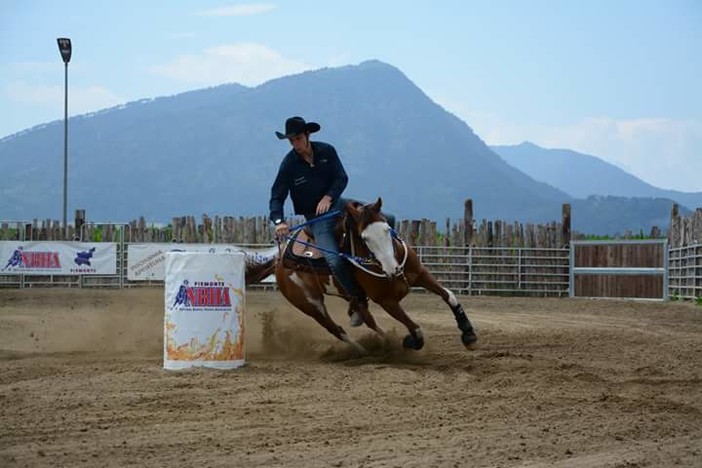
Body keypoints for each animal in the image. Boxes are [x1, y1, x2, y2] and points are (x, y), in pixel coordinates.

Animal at [264, 196, 478, 352]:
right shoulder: (387, 301)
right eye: (364, 238)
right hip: (310, 304)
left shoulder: (421, 275)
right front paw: (409, 341)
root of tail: (278, 260)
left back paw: (383, 341)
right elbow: (416, 329)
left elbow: (448, 295)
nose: (393, 269)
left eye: (387, 229)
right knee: (336, 329)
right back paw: (364, 351)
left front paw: (468, 334)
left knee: (368, 319)